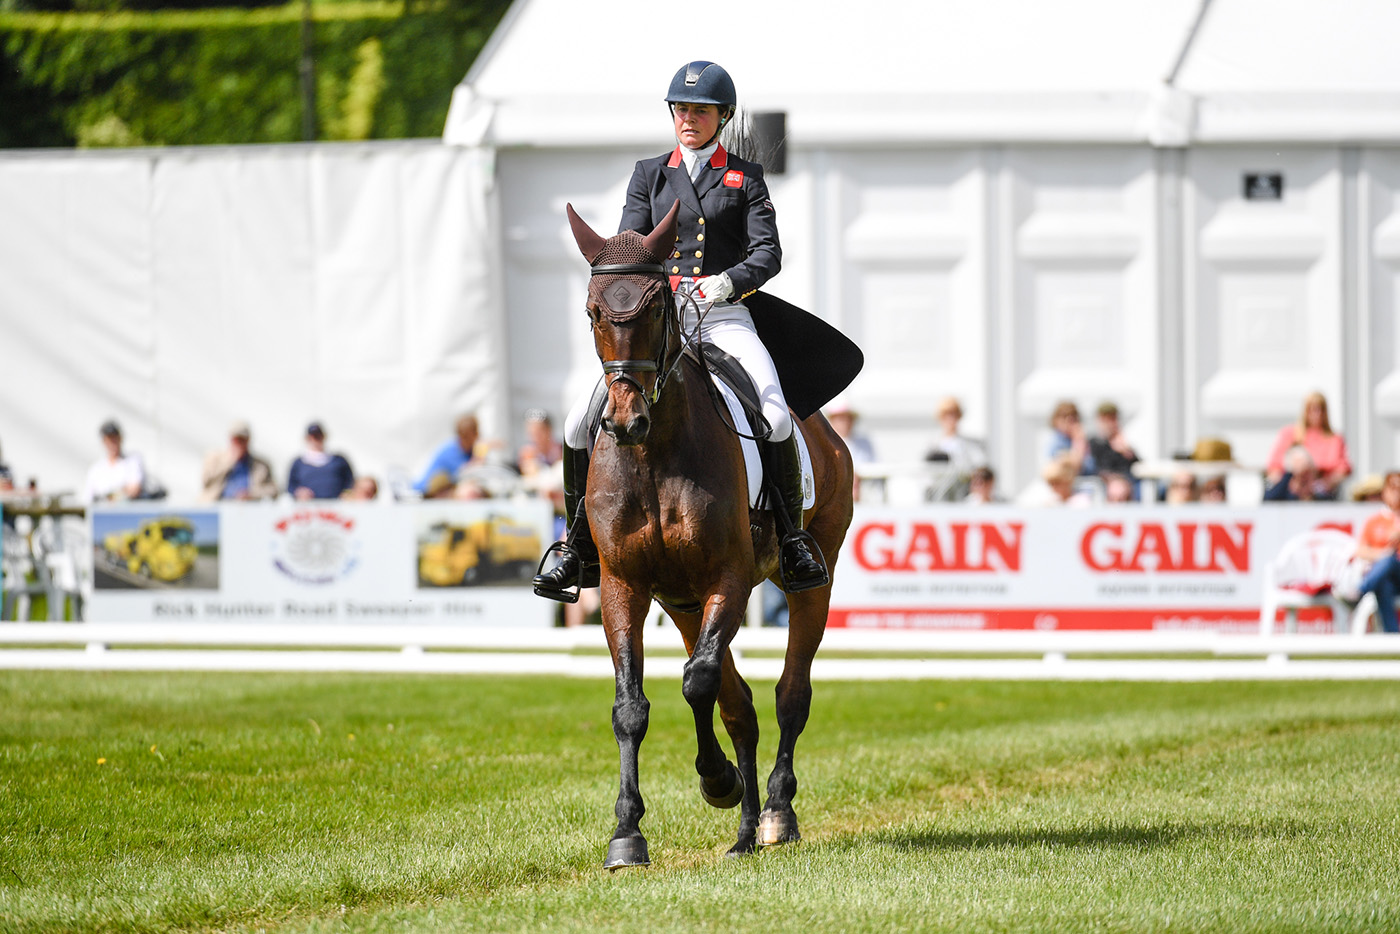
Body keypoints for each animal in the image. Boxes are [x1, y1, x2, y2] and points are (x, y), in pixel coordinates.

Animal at [563, 201, 855, 867]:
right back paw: (744, 832)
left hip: (809, 581)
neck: (654, 452)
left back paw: (774, 814)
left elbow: (697, 683)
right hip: (681, 601)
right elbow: (632, 706)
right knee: (739, 701)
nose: (625, 421)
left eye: (654, 310)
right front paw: (626, 835)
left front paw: (716, 780)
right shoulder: (624, 584)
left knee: (789, 694)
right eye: (594, 312)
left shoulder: (730, 577)